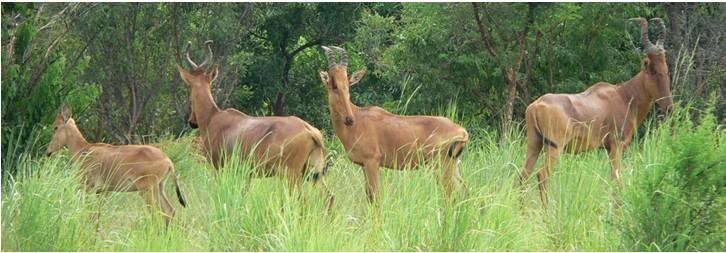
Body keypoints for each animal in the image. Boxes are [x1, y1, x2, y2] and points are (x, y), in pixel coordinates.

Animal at [46, 104, 188, 223]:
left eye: (55, 127)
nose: (49, 152)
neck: (85, 149)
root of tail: (168, 161)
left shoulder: (90, 188)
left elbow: (90, 213)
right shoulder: (102, 191)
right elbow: (96, 215)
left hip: (147, 191)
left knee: (156, 214)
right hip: (160, 188)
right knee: (170, 212)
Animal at [176, 41, 336, 208]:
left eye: (189, 88)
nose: (192, 121)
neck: (215, 117)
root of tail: (311, 132)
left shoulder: (219, 167)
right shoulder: (244, 174)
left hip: (291, 175)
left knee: (301, 200)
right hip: (312, 173)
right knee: (329, 196)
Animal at [320, 45, 470, 202]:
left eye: (347, 84)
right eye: (333, 84)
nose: (349, 120)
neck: (359, 117)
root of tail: (461, 131)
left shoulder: (372, 162)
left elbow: (376, 196)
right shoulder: (364, 165)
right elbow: (369, 197)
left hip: (442, 167)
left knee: (451, 194)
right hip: (453, 166)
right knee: (465, 191)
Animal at [520, 17, 672, 206]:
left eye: (666, 69)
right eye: (652, 69)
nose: (669, 107)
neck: (623, 95)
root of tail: (536, 106)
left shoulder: (607, 148)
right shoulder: (616, 146)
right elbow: (618, 179)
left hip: (535, 144)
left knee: (523, 175)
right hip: (555, 147)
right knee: (542, 175)